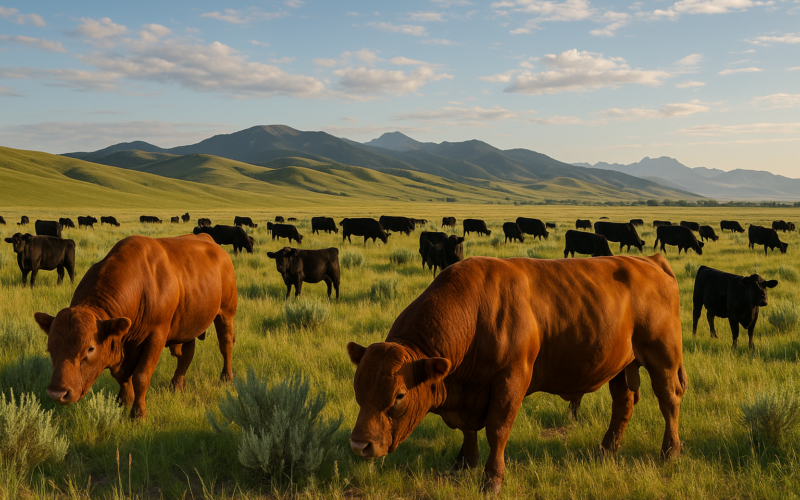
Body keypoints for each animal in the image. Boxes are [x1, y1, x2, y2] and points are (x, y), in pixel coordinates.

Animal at [33, 233, 237, 419]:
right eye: (50, 348)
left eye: (90, 349)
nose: (57, 393)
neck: (141, 286)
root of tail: (213, 243)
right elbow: (123, 376)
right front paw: (123, 400)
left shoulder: (156, 337)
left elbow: (141, 376)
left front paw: (138, 413)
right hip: (188, 326)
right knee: (186, 354)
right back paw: (177, 385)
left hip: (226, 313)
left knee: (225, 344)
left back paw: (226, 377)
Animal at [347, 255, 686, 495]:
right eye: (358, 390)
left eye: (399, 395)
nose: (359, 445)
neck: (475, 313)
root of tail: (650, 260)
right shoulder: (469, 394)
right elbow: (469, 431)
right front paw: (464, 463)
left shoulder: (510, 380)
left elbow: (497, 430)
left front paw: (492, 480)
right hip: (620, 365)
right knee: (623, 403)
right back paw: (607, 449)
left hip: (663, 358)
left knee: (668, 401)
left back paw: (670, 452)